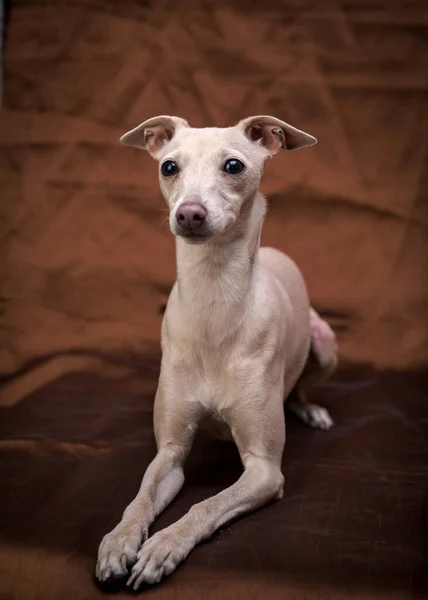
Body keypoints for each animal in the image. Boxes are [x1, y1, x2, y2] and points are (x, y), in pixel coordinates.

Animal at [96, 115, 338, 588]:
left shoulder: (265, 470)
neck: (214, 305)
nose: (189, 213)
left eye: (233, 165)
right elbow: (140, 497)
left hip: (325, 344)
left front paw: (165, 545)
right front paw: (119, 540)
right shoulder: (169, 452)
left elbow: (206, 505)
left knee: (301, 383)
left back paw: (309, 408)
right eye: (169, 166)